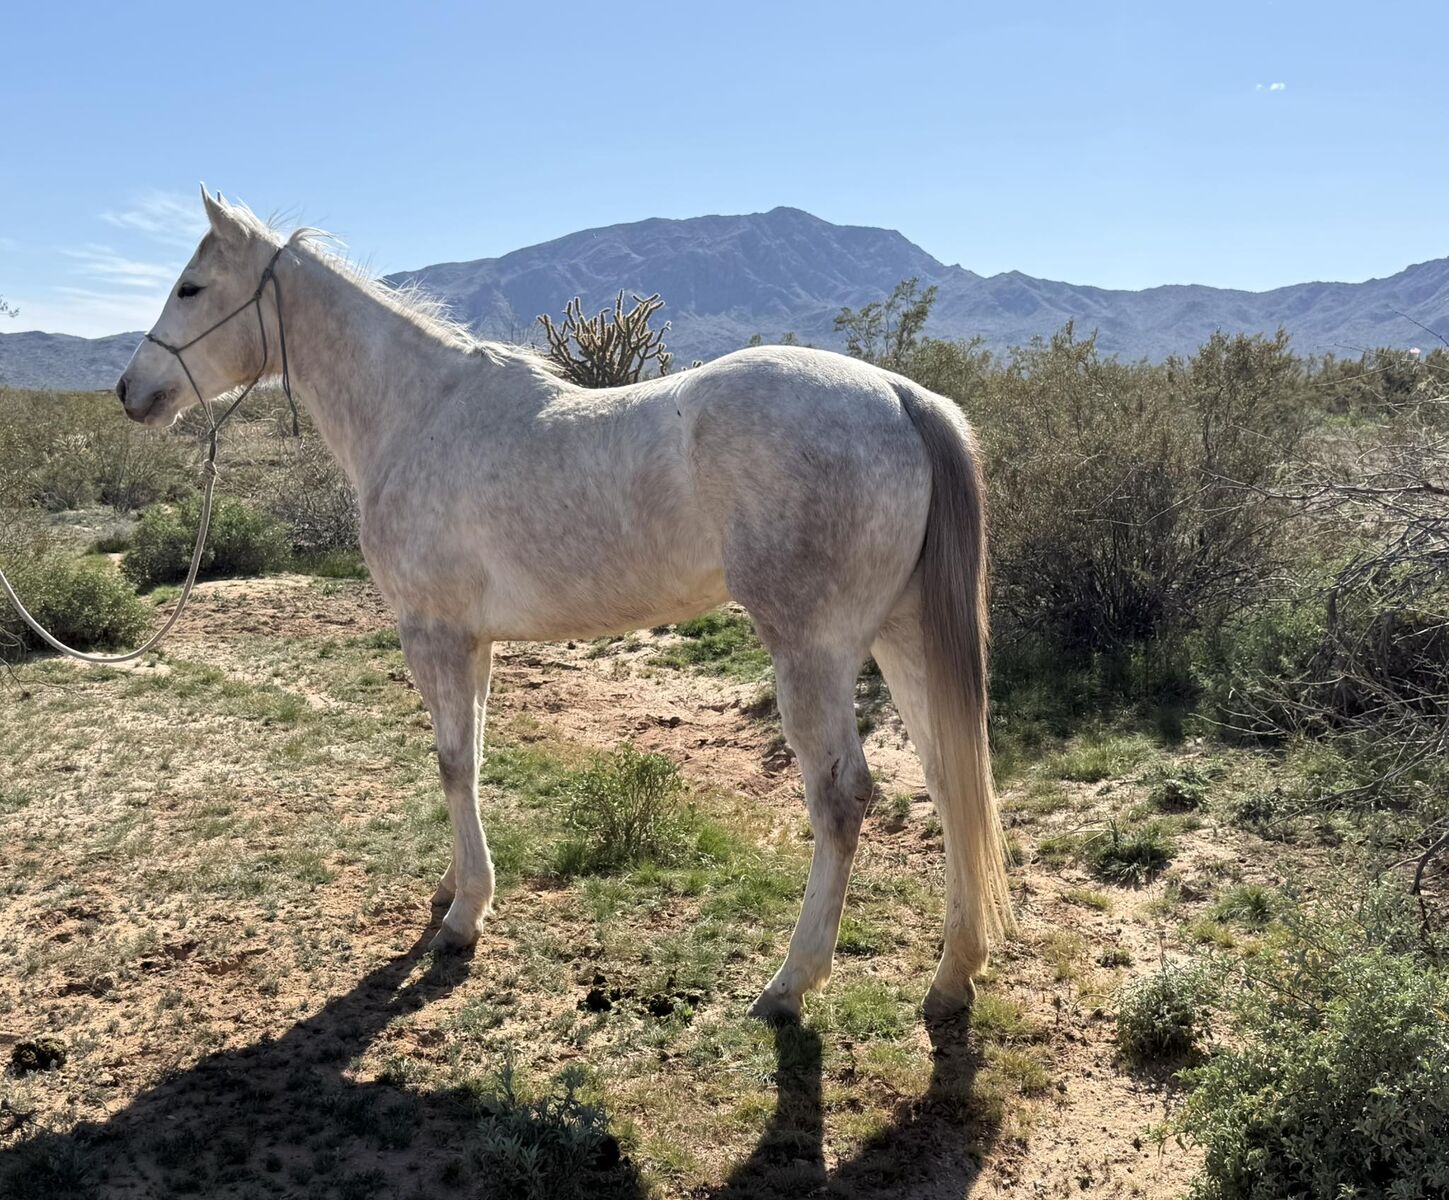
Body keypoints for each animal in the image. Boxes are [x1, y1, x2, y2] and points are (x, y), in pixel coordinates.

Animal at [115, 189, 1010, 1022]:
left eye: (192, 287)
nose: (130, 391)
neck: (417, 412)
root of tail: (898, 394)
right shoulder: (473, 643)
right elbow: (469, 756)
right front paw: (451, 889)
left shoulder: (431, 634)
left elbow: (451, 761)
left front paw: (464, 918)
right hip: (898, 638)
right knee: (950, 777)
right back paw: (951, 977)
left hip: (811, 652)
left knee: (841, 799)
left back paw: (790, 985)